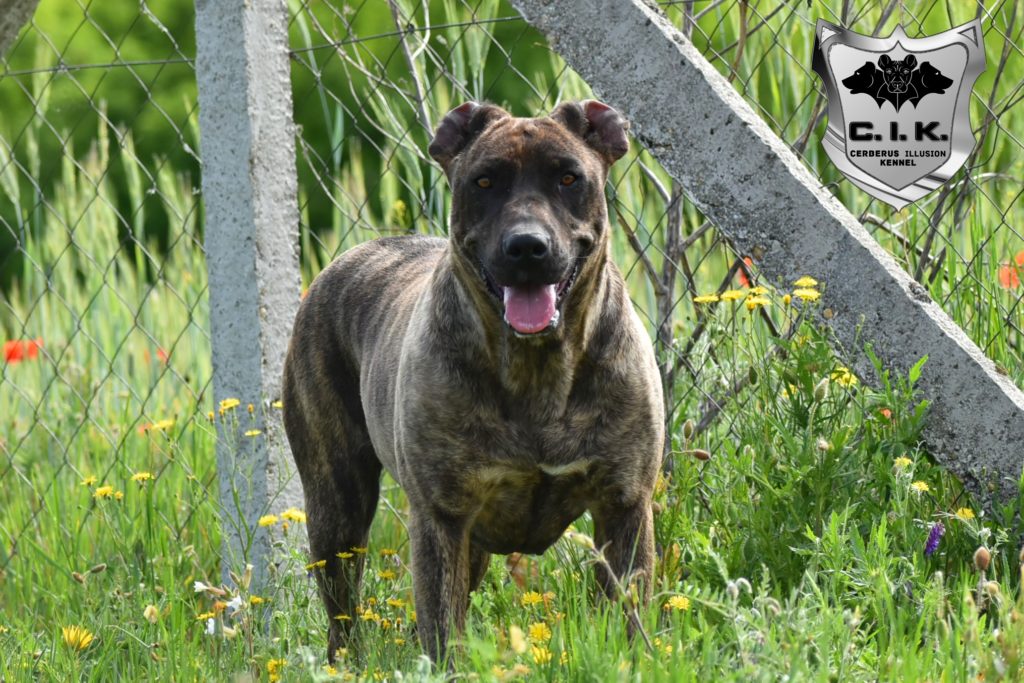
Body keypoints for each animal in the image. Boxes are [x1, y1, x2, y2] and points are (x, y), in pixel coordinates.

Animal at [280, 98, 663, 663]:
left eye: (569, 178)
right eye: (484, 182)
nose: (527, 246)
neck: (537, 369)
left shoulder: (624, 507)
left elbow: (629, 617)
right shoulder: (441, 518)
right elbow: (443, 631)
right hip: (337, 508)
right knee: (343, 618)